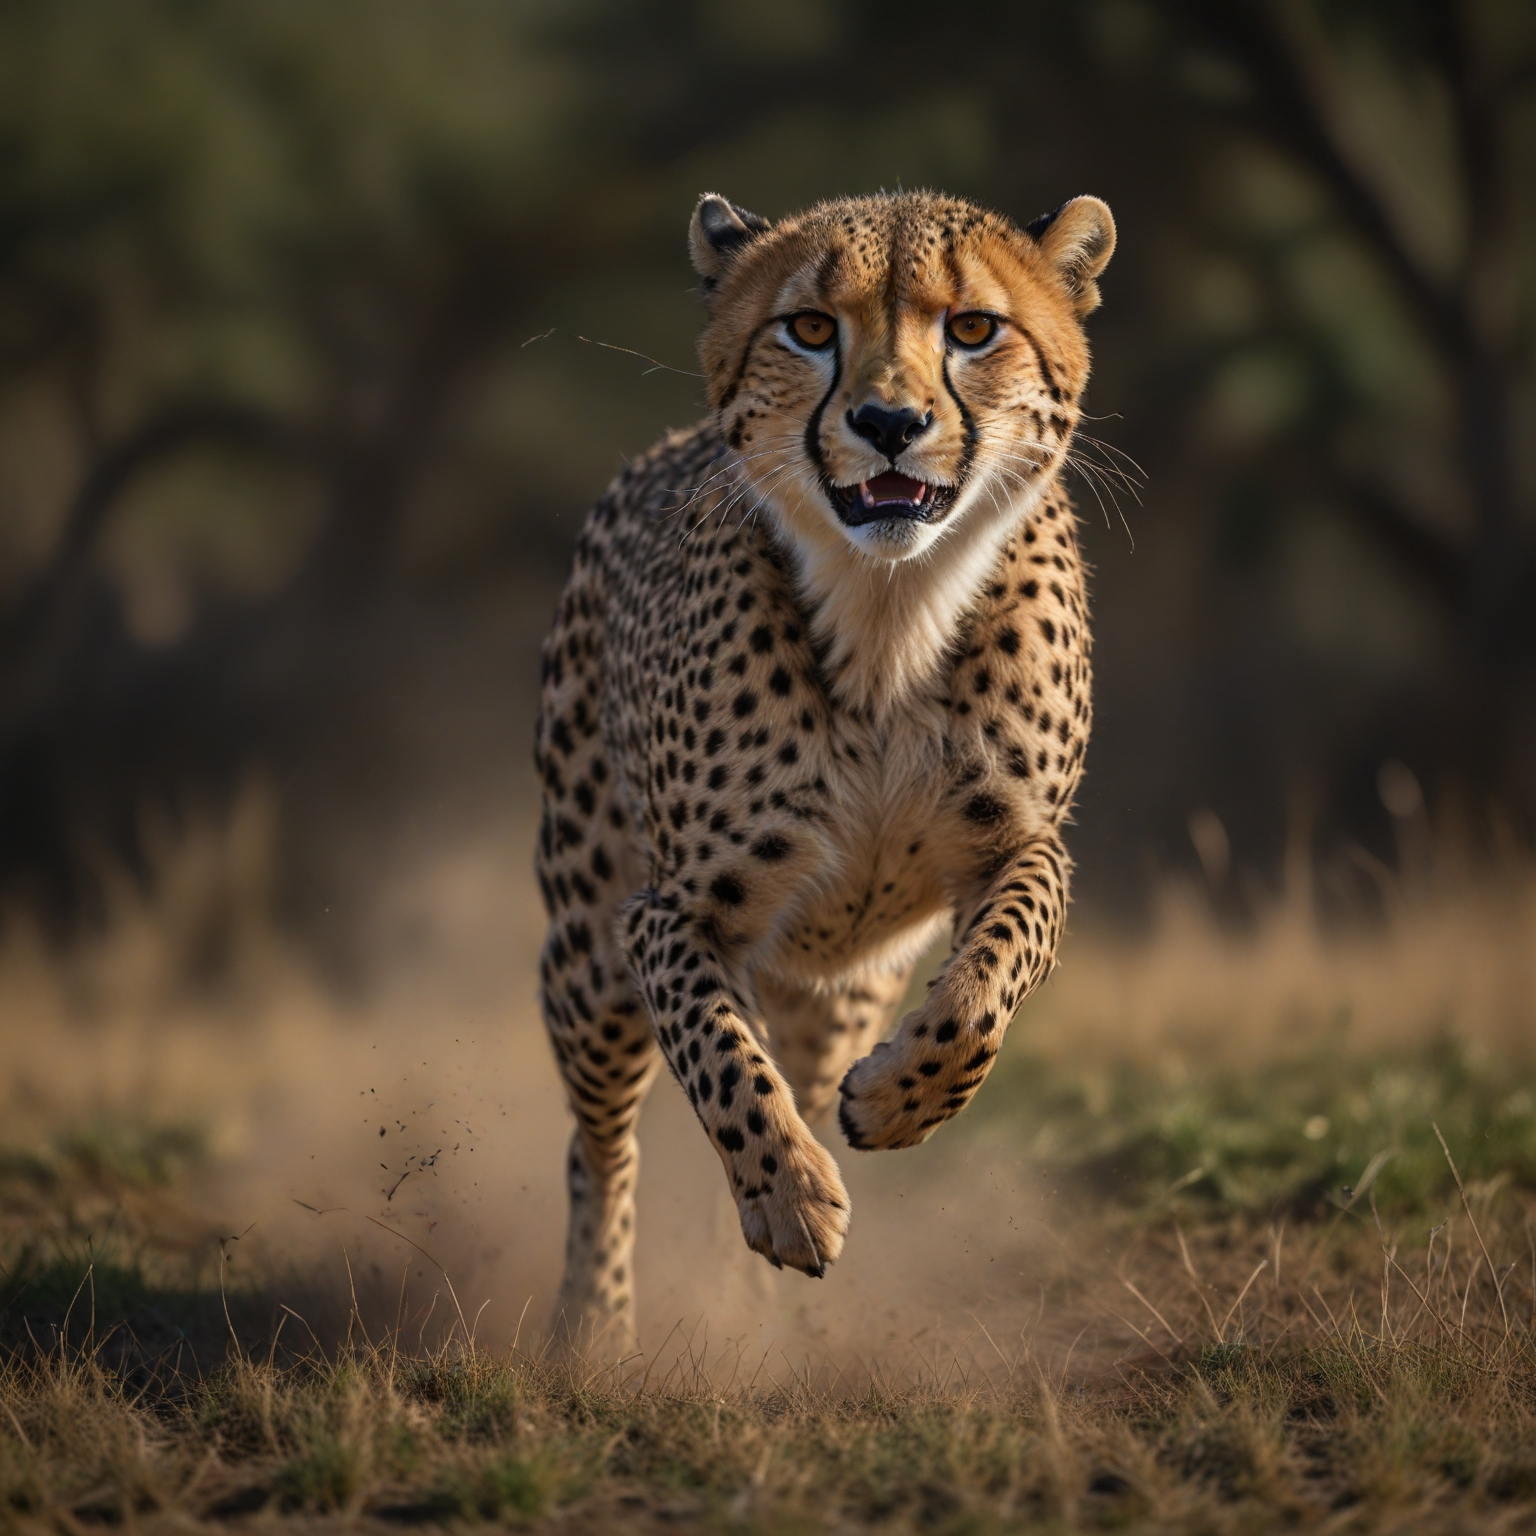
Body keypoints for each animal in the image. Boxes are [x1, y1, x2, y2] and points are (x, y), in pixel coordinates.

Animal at [533, 187, 1114, 1357]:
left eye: (972, 328)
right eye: (808, 329)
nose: (889, 424)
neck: (887, 613)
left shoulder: (1022, 847)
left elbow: (990, 982)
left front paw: (897, 1100)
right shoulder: (669, 913)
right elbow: (720, 1058)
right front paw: (792, 1195)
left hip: (839, 984)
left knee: (796, 1063)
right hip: (584, 956)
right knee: (601, 1141)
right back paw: (596, 1327)